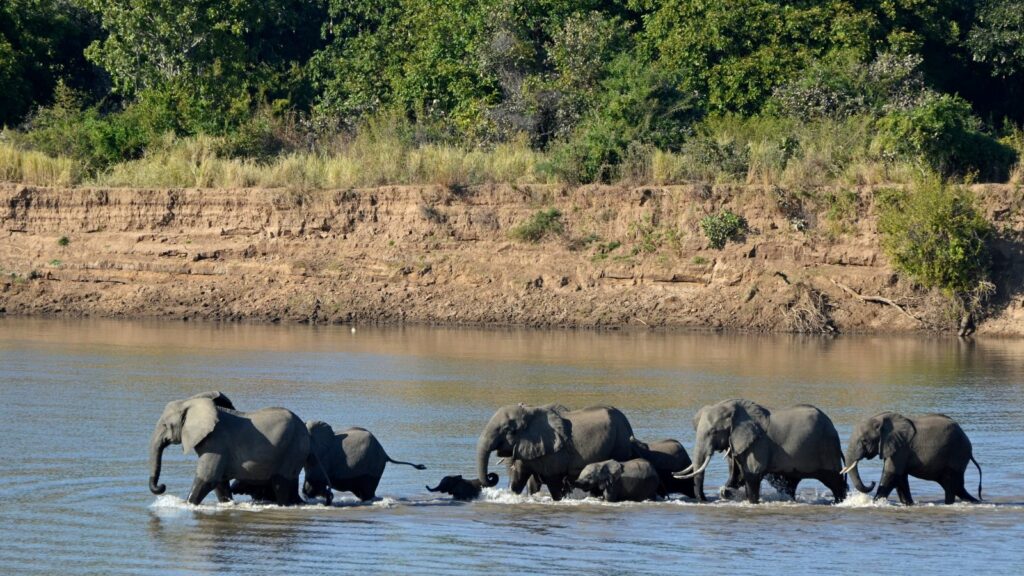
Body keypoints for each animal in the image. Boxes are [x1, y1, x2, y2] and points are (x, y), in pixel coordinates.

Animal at [148, 391, 311, 505]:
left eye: (165, 425)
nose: (162, 486)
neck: (191, 402)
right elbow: (220, 483)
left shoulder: (216, 442)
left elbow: (208, 478)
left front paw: (186, 504)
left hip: (294, 447)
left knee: (280, 483)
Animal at [475, 403, 636, 501]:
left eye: (507, 430)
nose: (491, 476)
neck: (530, 412)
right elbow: (518, 480)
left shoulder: (554, 453)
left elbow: (554, 482)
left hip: (620, 443)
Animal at [676, 399, 847, 504]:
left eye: (713, 432)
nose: (704, 499)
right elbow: (737, 476)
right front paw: (726, 491)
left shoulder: (758, 444)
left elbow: (751, 476)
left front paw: (751, 502)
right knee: (789, 483)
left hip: (827, 448)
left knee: (835, 482)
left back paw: (840, 501)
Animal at [841, 412, 982, 505]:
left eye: (864, 441)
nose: (872, 482)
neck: (880, 419)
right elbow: (901, 478)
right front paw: (908, 504)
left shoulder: (901, 448)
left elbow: (892, 473)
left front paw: (874, 503)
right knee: (956, 486)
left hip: (956, 454)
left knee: (951, 484)